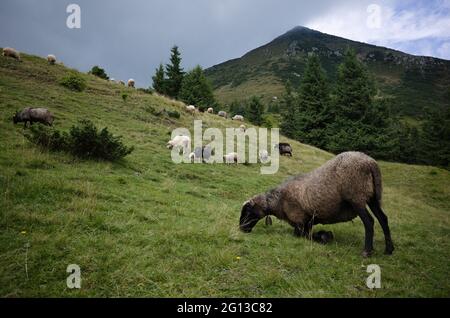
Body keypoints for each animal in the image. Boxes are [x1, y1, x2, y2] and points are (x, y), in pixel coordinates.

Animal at [239, 150, 394, 258]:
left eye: (247, 211)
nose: (241, 228)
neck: (278, 202)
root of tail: (371, 163)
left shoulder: (300, 220)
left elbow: (303, 236)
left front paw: (323, 236)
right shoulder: (308, 221)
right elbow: (308, 234)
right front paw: (324, 235)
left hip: (357, 196)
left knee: (369, 221)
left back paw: (367, 251)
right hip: (373, 197)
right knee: (383, 218)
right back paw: (388, 250)